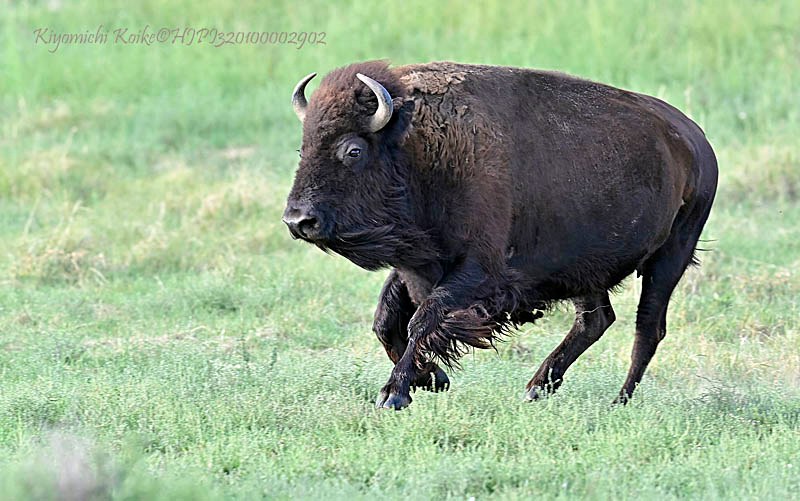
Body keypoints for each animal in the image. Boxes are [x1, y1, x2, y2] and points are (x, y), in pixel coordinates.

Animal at [283, 60, 717, 409]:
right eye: (303, 148)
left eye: (353, 150)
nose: (297, 220)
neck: (420, 150)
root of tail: (695, 142)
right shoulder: (416, 266)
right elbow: (387, 321)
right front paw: (433, 379)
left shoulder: (478, 271)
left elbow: (423, 320)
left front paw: (394, 394)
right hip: (584, 268)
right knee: (597, 319)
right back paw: (537, 387)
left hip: (669, 259)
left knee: (647, 328)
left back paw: (618, 401)